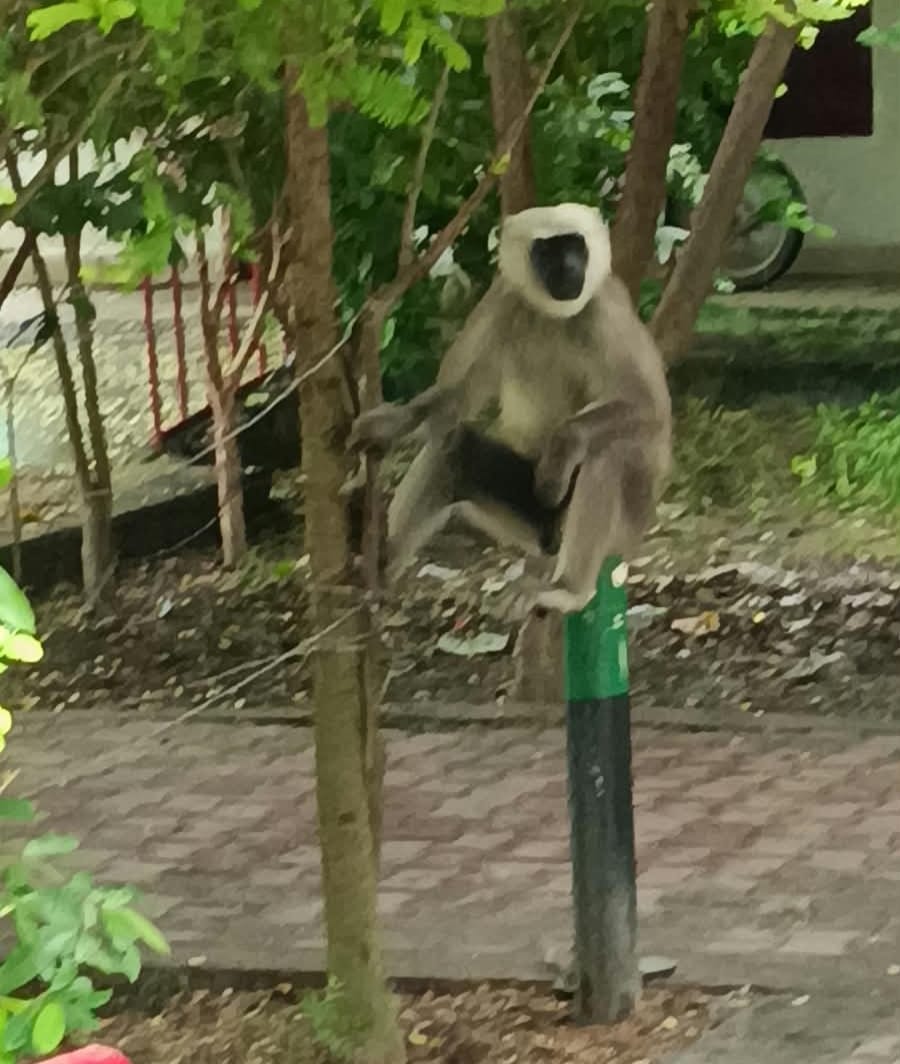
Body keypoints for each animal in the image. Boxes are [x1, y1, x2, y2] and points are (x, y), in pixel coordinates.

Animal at [349, 202, 672, 615]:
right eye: (547, 251)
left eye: (574, 246)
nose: (568, 267)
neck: (553, 315)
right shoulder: (502, 298)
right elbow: (456, 399)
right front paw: (392, 424)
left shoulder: (604, 311)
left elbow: (651, 408)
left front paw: (562, 449)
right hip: (530, 528)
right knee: (453, 448)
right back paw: (382, 564)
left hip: (626, 525)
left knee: (610, 452)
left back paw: (570, 588)